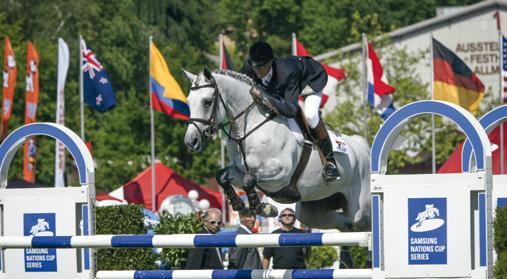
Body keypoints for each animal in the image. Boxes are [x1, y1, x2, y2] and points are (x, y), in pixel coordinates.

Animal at [185, 68, 372, 232]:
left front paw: (260, 207)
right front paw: (242, 205)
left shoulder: (281, 174)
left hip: (359, 206)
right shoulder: (239, 170)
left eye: (207, 102)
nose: (191, 141)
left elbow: (249, 179)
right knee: (343, 222)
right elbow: (223, 176)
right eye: (188, 101)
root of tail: (361, 148)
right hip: (314, 206)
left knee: (362, 221)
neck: (251, 127)